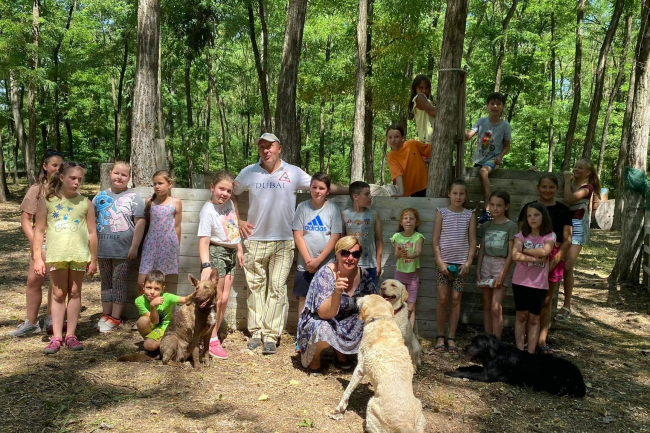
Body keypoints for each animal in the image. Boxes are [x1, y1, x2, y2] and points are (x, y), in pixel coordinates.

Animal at [330, 294, 426, 432]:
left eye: (363, 297)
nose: (355, 298)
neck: (381, 318)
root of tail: (405, 425)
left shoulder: (360, 368)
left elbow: (347, 391)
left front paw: (339, 409)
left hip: (371, 406)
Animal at [442, 332, 584, 396]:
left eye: (476, 344)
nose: (463, 349)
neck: (497, 353)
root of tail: (580, 379)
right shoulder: (485, 369)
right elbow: (473, 367)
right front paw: (461, 367)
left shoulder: (486, 376)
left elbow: (466, 374)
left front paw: (451, 372)